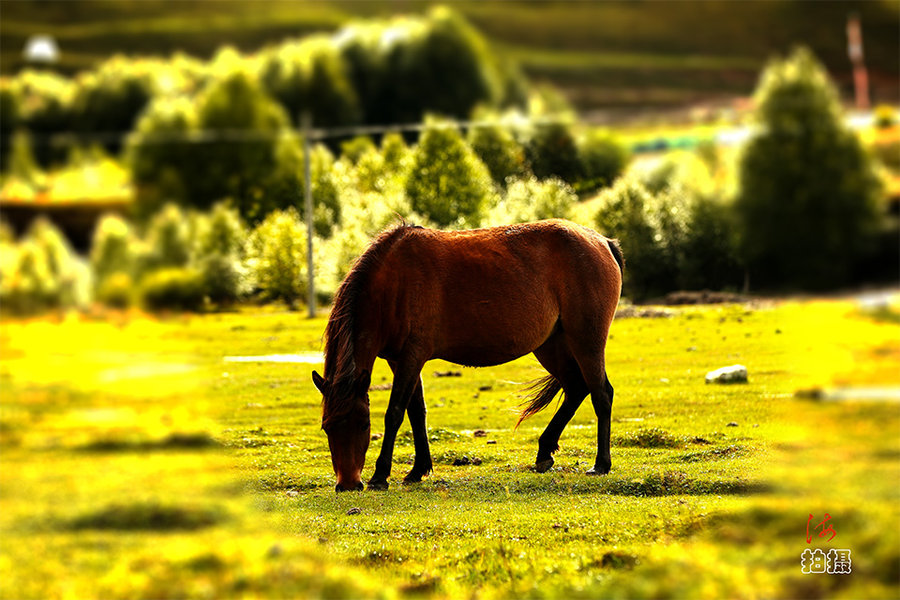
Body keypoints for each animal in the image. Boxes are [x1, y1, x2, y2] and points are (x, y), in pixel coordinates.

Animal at [312, 218, 624, 490]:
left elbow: (396, 412)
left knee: (601, 393)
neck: (392, 284)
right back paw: (545, 452)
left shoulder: (413, 355)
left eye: (363, 424)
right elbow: (416, 411)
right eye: (327, 427)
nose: (348, 484)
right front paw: (417, 470)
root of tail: (601, 241)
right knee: (576, 388)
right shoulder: (398, 359)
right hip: (550, 346)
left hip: (586, 341)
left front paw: (380, 476)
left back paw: (601, 463)